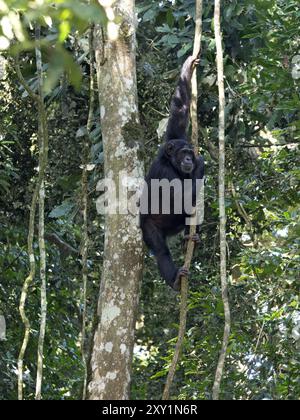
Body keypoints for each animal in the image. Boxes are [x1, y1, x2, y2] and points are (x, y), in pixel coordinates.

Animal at [141, 55, 204, 292]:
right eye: (184, 153)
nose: (189, 159)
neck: (170, 162)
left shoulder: (174, 135)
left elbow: (179, 109)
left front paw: (188, 66)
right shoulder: (165, 173)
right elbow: (180, 198)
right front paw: (201, 165)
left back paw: (190, 239)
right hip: (149, 227)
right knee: (161, 251)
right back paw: (175, 279)